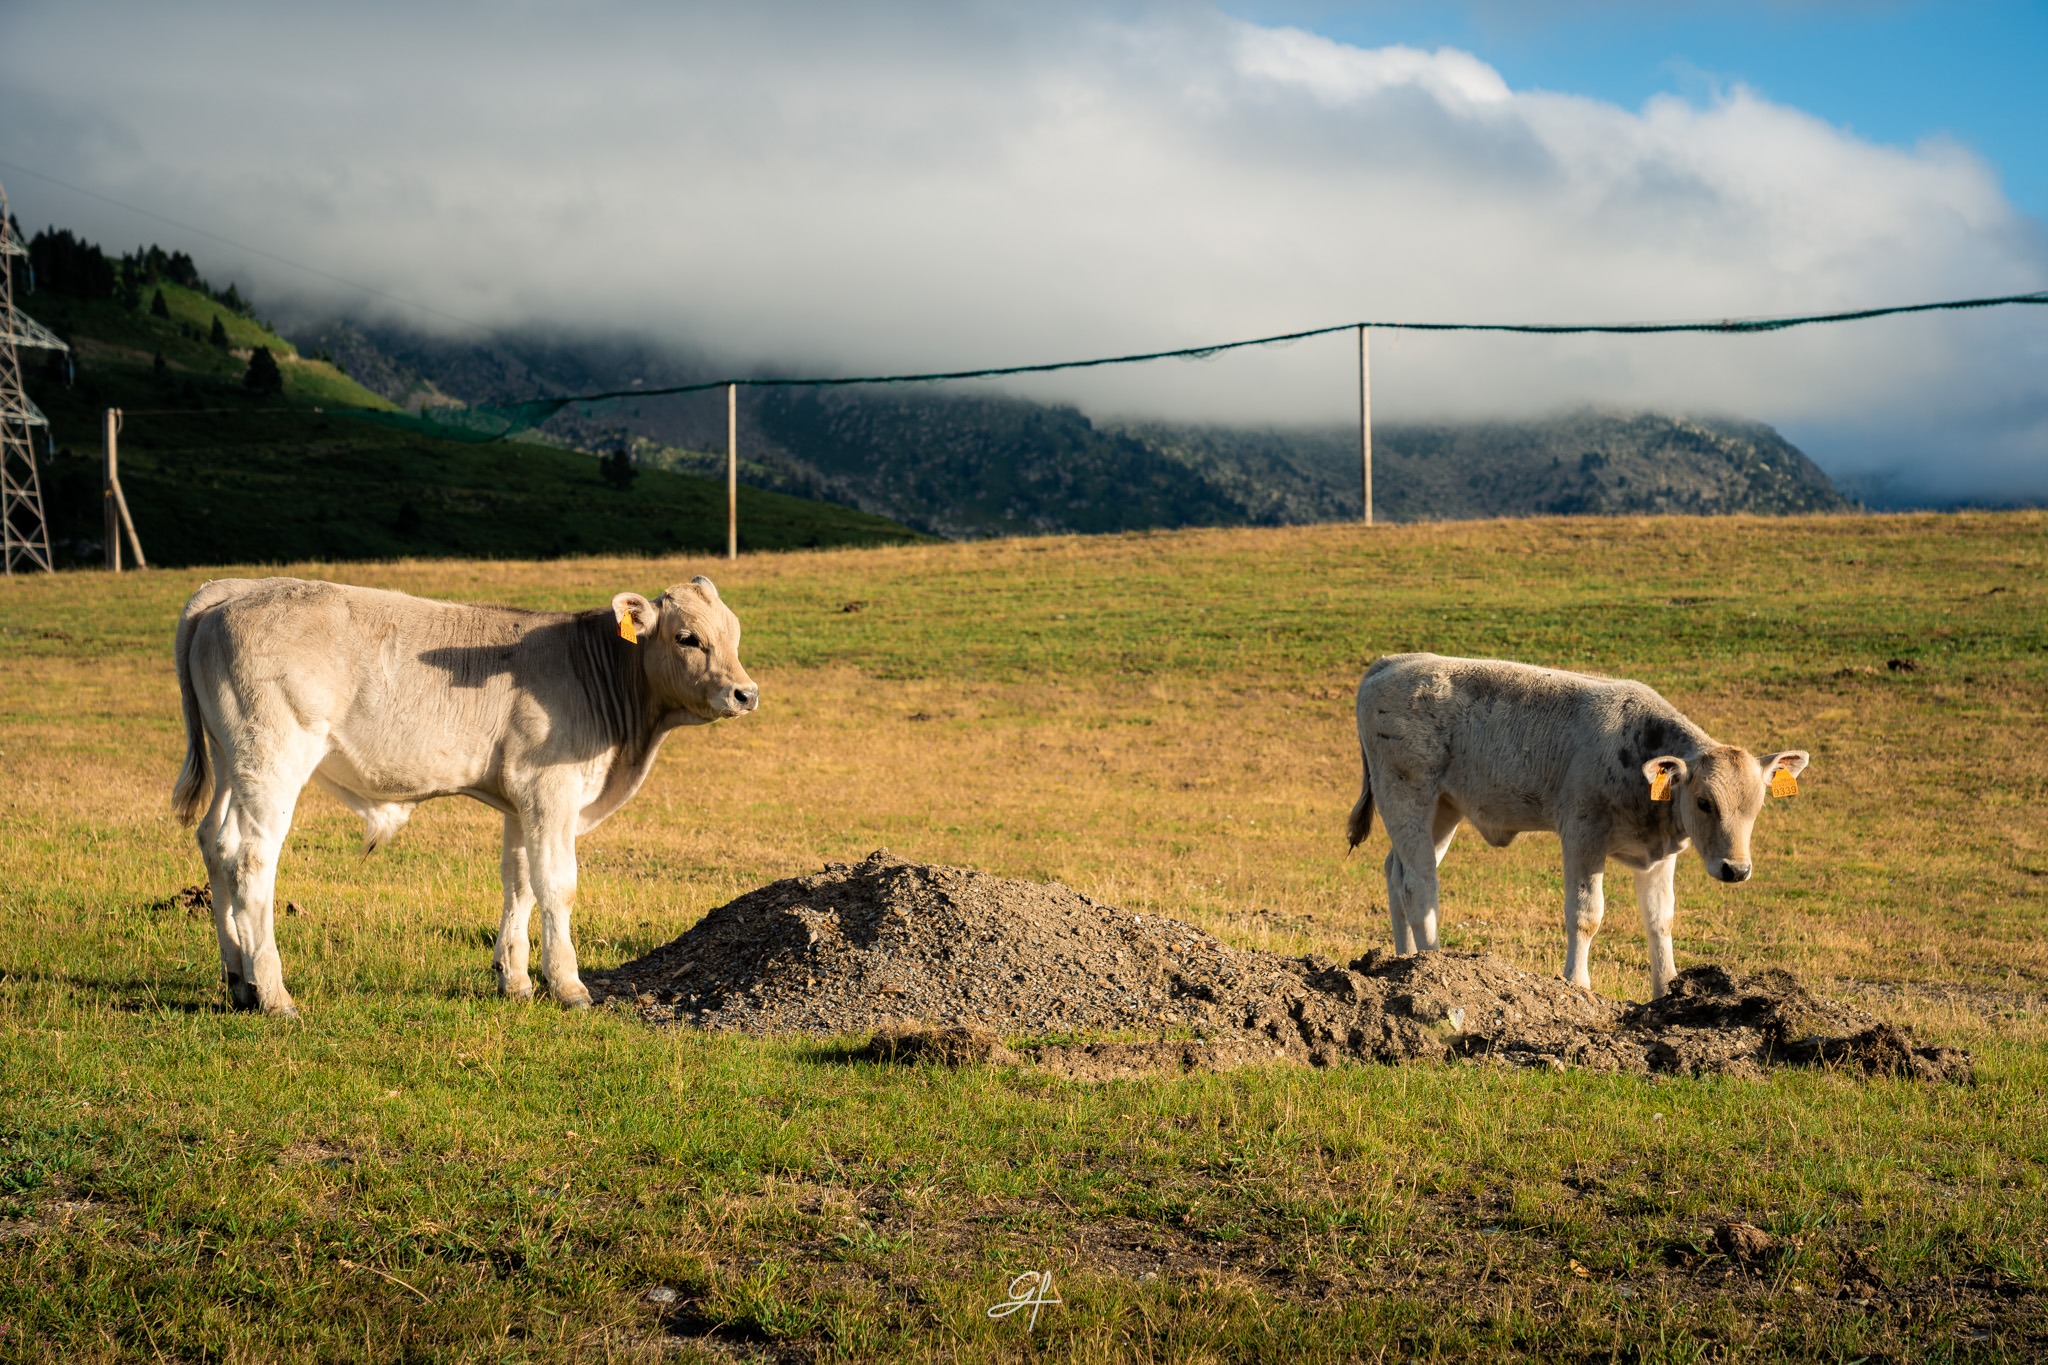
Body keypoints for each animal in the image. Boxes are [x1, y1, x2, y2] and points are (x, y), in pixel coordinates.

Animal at [171, 575, 758, 1016]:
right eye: (687, 637)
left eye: (734, 634)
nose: (746, 693)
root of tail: (233, 590)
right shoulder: (550, 791)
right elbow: (557, 885)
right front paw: (568, 985)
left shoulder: (522, 802)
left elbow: (520, 882)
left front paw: (514, 979)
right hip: (273, 758)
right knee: (252, 860)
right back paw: (273, 993)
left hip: (234, 764)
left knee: (216, 844)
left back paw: (239, 979)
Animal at [1345, 653, 1807, 999]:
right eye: (1704, 802)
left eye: (1756, 806)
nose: (1736, 870)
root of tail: (1392, 663)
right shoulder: (1583, 835)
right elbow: (1586, 915)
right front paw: (1578, 984)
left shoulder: (1660, 856)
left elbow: (1660, 920)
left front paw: (1667, 991)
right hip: (1407, 794)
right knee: (1419, 885)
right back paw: (1432, 965)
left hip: (1443, 808)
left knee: (1396, 873)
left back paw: (1404, 961)